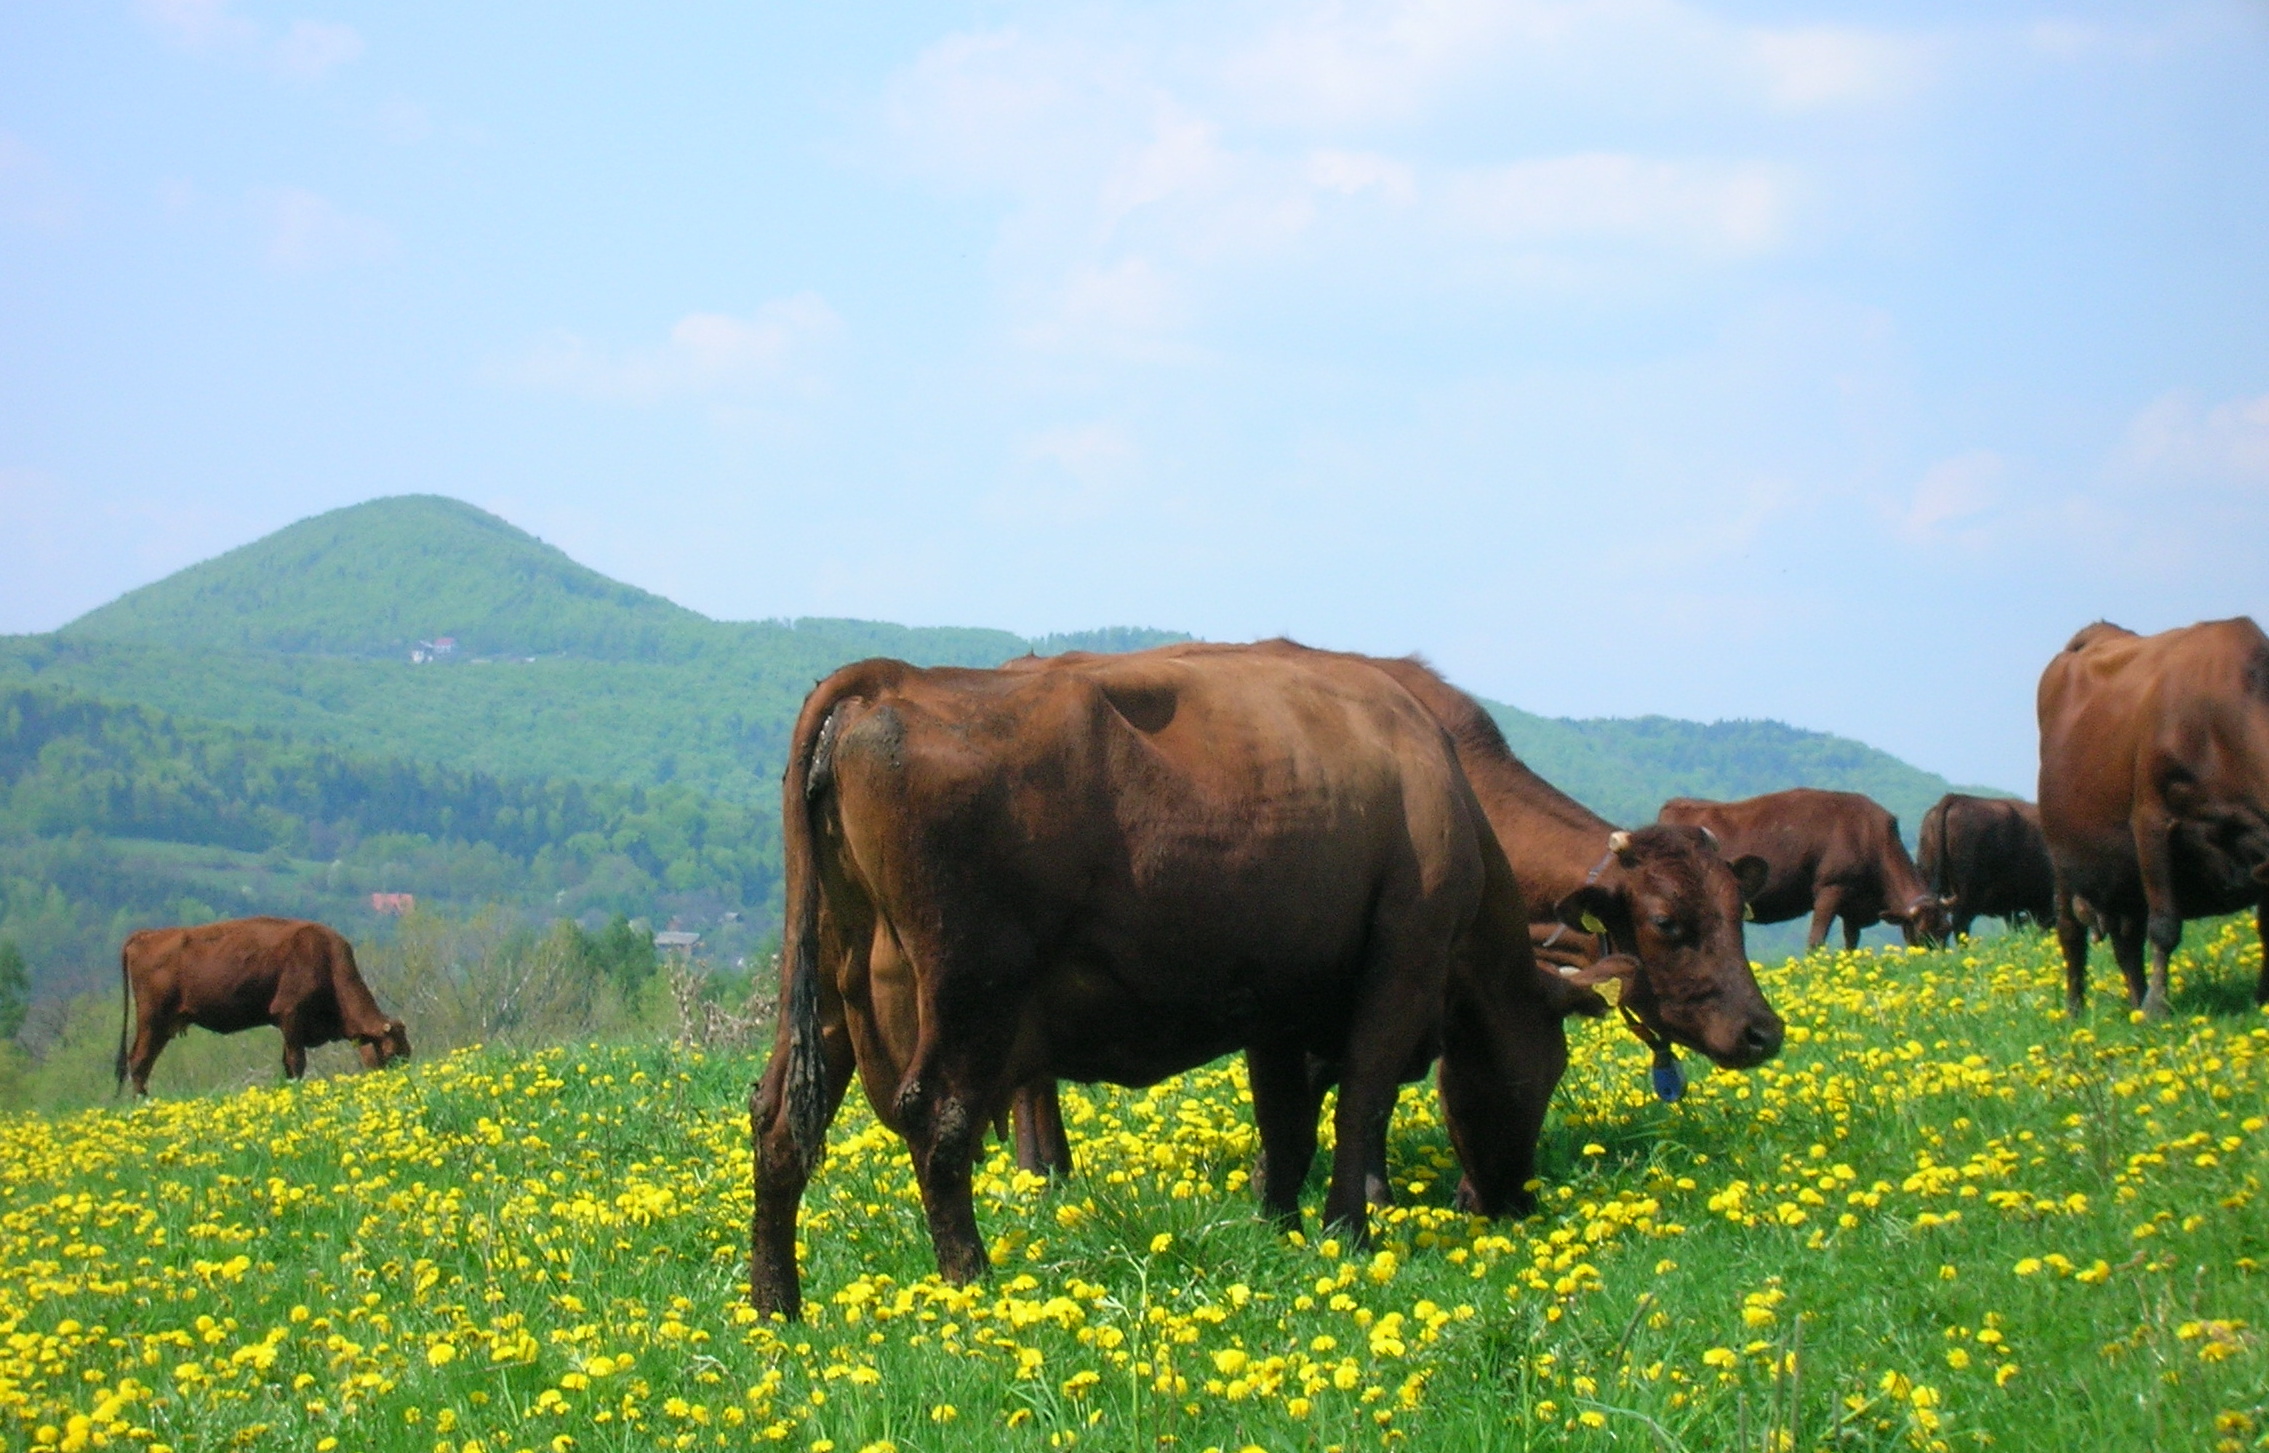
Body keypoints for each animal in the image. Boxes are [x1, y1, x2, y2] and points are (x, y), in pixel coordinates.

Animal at [115, 912, 410, 1094]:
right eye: (392, 1053)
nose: (400, 1082)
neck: (325, 958)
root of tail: (146, 935)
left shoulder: (288, 1027)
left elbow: (287, 1063)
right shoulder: (290, 1016)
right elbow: (296, 1062)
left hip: (164, 1026)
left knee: (143, 1061)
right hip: (152, 1019)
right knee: (139, 1060)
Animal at [753, 644, 1606, 1316]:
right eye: (1549, 1069)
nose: (1513, 1200)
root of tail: (892, 680)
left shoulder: (1277, 1003)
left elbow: (1285, 1121)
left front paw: (1278, 1226)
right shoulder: (1404, 963)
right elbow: (1359, 1102)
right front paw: (1347, 1229)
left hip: (830, 985)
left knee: (777, 1120)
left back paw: (775, 1305)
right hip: (970, 987)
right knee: (938, 1119)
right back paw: (972, 1283)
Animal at [1651, 790, 1951, 948]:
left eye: (1946, 930)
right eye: (1924, 932)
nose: (1935, 959)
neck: (1870, 835)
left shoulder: (1854, 906)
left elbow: (1851, 943)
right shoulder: (1832, 888)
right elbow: (1816, 940)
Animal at [2042, 617, 2269, 1017]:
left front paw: (2262, 999)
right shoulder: (2152, 823)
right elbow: (2165, 925)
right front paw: (2157, 1009)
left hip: (2121, 871)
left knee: (2126, 940)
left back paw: (2134, 999)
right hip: (2064, 860)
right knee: (2071, 932)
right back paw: (2075, 1009)